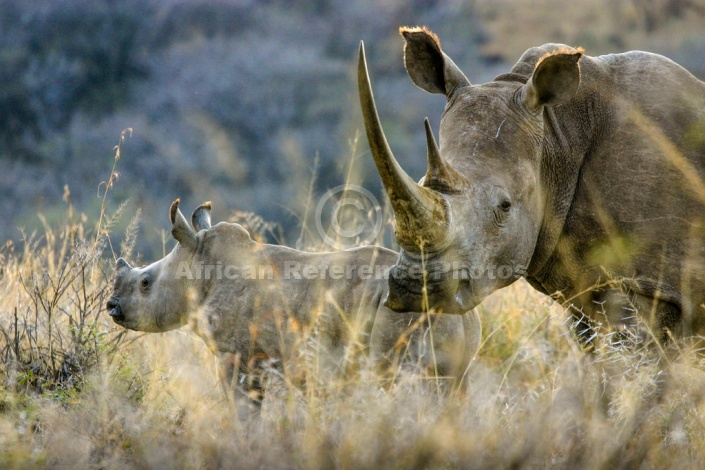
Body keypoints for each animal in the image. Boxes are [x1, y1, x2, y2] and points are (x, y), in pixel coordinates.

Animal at [106, 200, 478, 414]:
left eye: (145, 283)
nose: (111, 307)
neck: (200, 265)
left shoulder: (236, 355)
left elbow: (243, 413)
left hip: (406, 315)